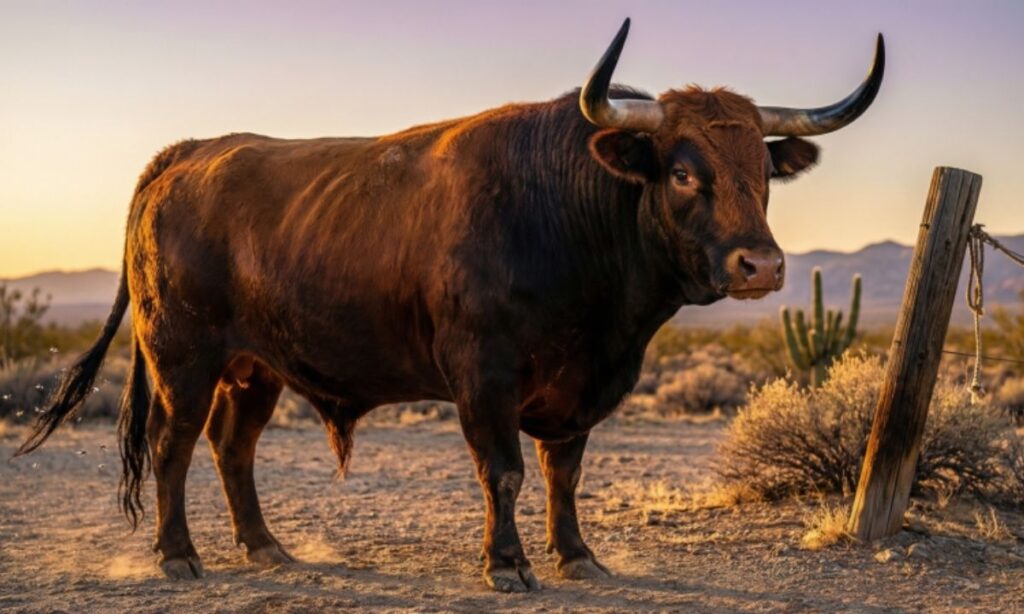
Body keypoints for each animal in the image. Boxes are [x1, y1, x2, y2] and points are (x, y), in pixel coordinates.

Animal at [17, 18, 883, 592]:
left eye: (762, 173)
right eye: (681, 171)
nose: (761, 264)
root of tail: (190, 153)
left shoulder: (577, 388)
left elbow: (564, 472)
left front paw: (577, 556)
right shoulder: (482, 375)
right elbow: (503, 472)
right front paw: (507, 564)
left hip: (253, 367)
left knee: (234, 449)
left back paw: (266, 548)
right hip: (182, 358)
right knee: (173, 446)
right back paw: (178, 556)